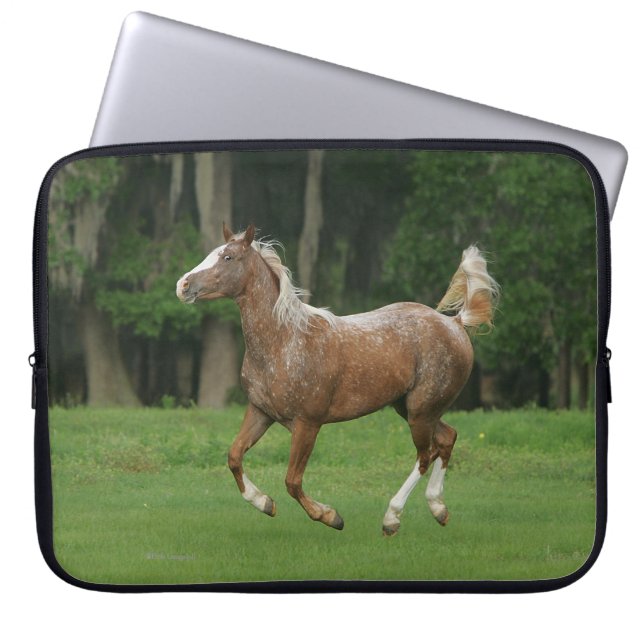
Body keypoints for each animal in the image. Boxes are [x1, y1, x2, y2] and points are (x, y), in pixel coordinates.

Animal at [176, 224, 498, 535]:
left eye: (228, 257)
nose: (183, 285)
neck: (283, 342)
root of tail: (455, 324)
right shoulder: (261, 412)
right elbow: (234, 456)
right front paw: (265, 503)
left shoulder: (307, 423)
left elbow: (292, 481)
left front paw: (331, 517)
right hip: (411, 408)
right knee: (446, 439)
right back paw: (438, 509)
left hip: (421, 410)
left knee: (425, 455)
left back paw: (392, 519)